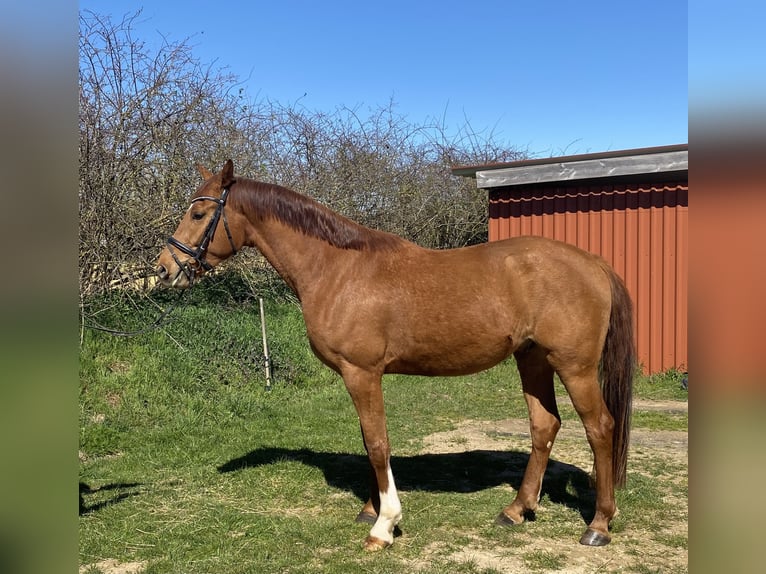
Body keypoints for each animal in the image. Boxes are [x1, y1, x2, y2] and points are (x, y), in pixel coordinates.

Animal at [155, 160, 635, 551]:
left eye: (199, 214)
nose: (164, 269)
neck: (337, 269)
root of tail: (592, 263)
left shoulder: (362, 373)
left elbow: (377, 442)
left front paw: (384, 525)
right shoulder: (359, 377)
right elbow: (369, 439)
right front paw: (370, 508)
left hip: (574, 367)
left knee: (600, 427)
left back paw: (598, 525)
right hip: (532, 360)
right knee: (544, 425)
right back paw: (516, 510)